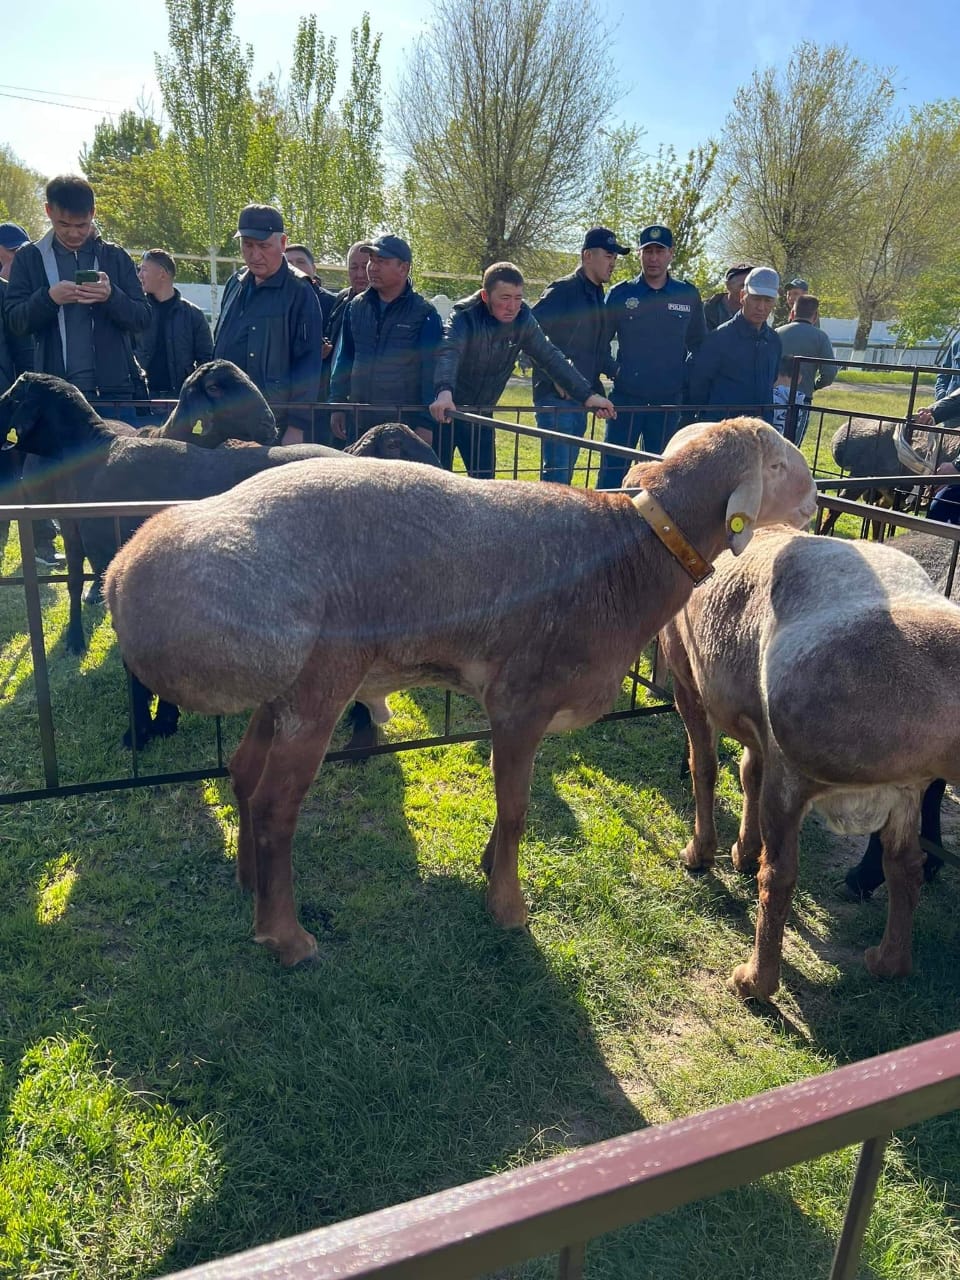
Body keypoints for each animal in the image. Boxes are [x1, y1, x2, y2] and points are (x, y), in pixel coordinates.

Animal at [101, 419, 814, 967]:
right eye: (778, 463)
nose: (813, 505)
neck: (631, 552)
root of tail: (120, 572)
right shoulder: (522, 699)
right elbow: (518, 809)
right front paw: (508, 906)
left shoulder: (516, 711)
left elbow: (508, 806)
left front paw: (488, 867)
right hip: (319, 684)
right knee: (277, 806)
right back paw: (286, 936)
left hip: (285, 689)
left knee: (244, 772)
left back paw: (249, 883)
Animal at [665, 524, 960, 1003]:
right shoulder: (757, 728)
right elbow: (747, 774)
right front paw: (742, 850)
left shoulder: (686, 676)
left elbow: (704, 766)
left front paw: (700, 853)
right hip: (906, 791)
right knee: (905, 864)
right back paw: (887, 961)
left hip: (795, 776)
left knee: (781, 873)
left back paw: (754, 981)